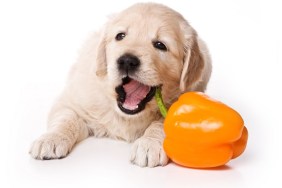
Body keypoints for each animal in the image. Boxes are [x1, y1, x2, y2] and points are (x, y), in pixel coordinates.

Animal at [30, 2, 212, 167]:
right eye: (120, 36)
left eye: (160, 45)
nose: (127, 61)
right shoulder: (71, 101)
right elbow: (66, 119)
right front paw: (51, 139)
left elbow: (162, 123)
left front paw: (149, 143)